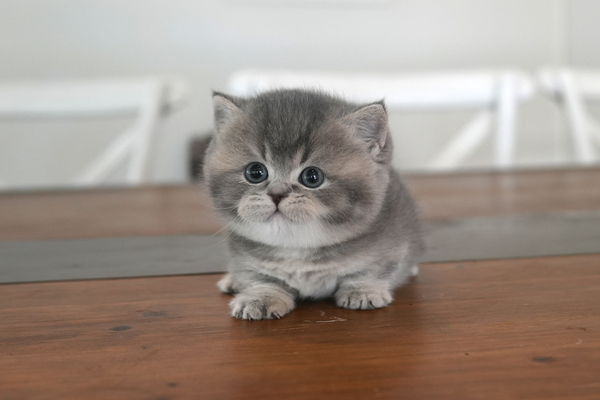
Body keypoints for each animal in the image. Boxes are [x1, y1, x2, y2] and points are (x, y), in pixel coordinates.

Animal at [203, 89, 424, 320]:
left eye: (312, 176)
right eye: (255, 172)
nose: (277, 194)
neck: (297, 249)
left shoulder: (391, 243)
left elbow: (371, 270)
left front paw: (363, 290)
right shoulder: (243, 258)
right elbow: (258, 278)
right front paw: (261, 297)